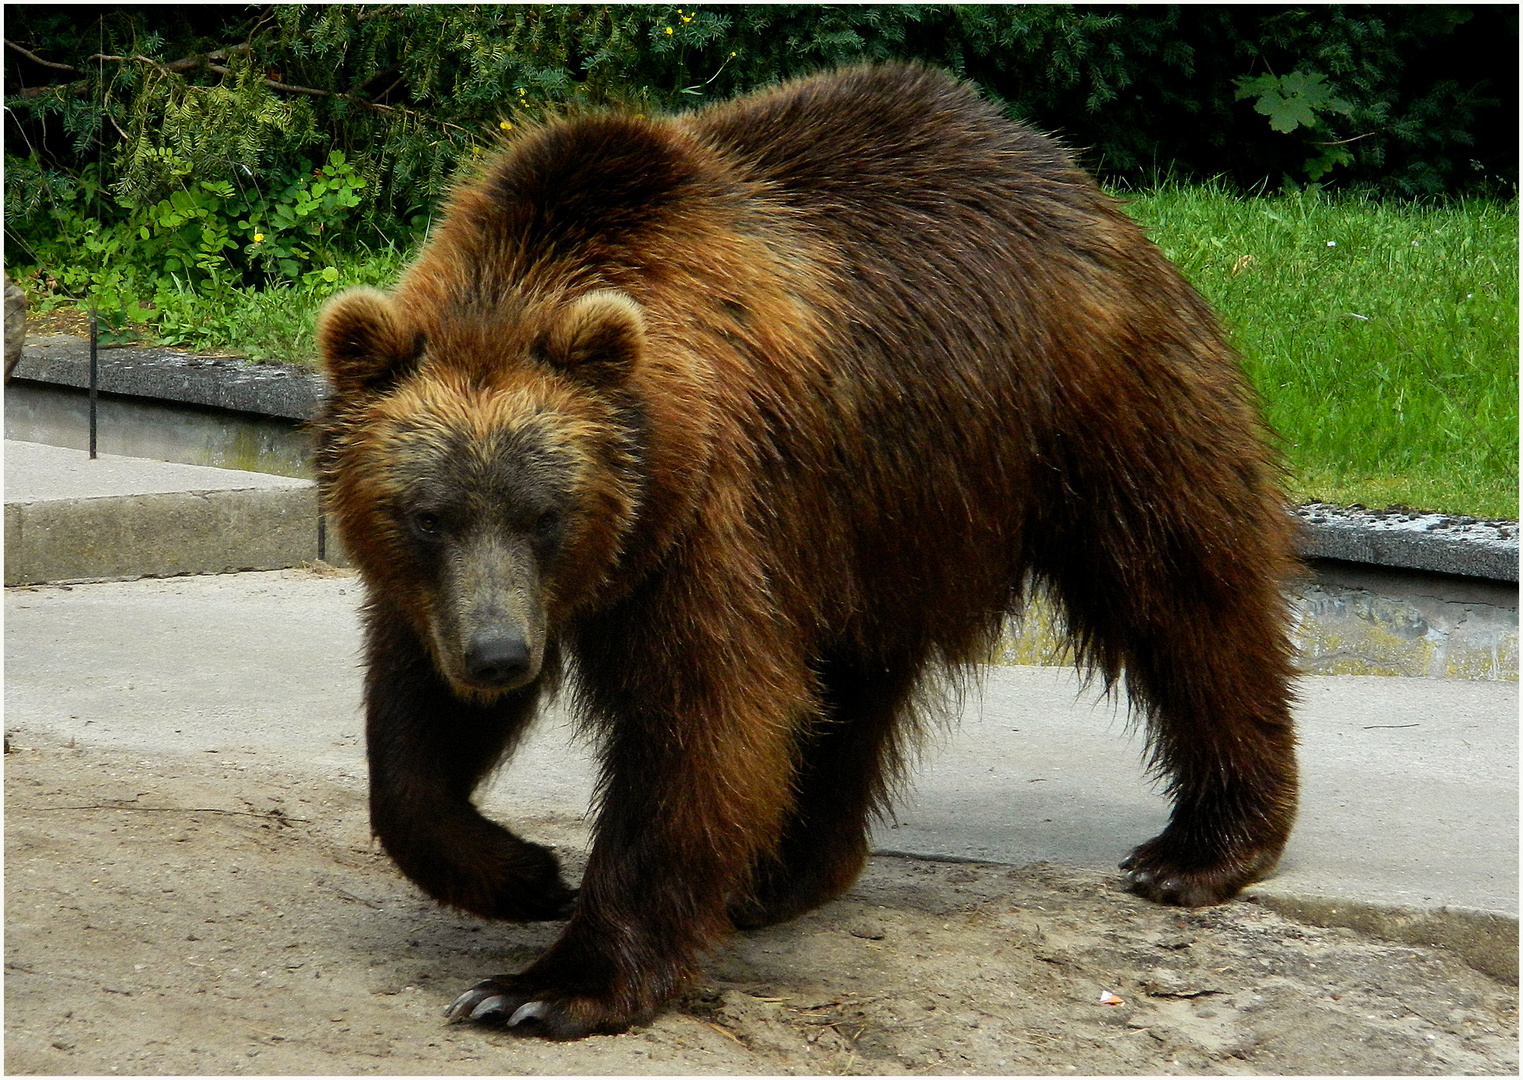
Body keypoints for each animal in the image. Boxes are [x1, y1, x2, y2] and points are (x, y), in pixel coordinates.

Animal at [315, 60, 1303, 1035]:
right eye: (428, 513)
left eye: (545, 513)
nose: (498, 656)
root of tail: (1075, 180)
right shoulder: (451, 586)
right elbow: (412, 728)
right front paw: (519, 871)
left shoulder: (712, 511)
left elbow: (702, 725)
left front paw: (547, 986)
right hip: (880, 516)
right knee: (849, 687)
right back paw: (783, 873)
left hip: (1088, 413)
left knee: (1183, 595)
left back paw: (1201, 846)